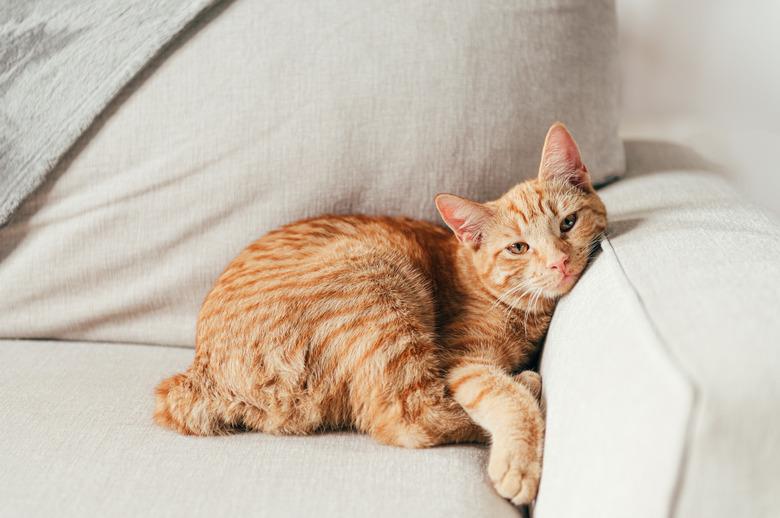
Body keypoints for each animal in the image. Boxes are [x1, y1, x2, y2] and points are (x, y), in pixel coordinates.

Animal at [152, 124, 604, 506]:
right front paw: (519, 463)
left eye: (568, 223)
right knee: (407, 418)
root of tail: (200, 374)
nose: (560, 263)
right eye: (518, 248)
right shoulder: (464, 360)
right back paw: (526, 382)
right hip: (380, 282)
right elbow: (502, 396)